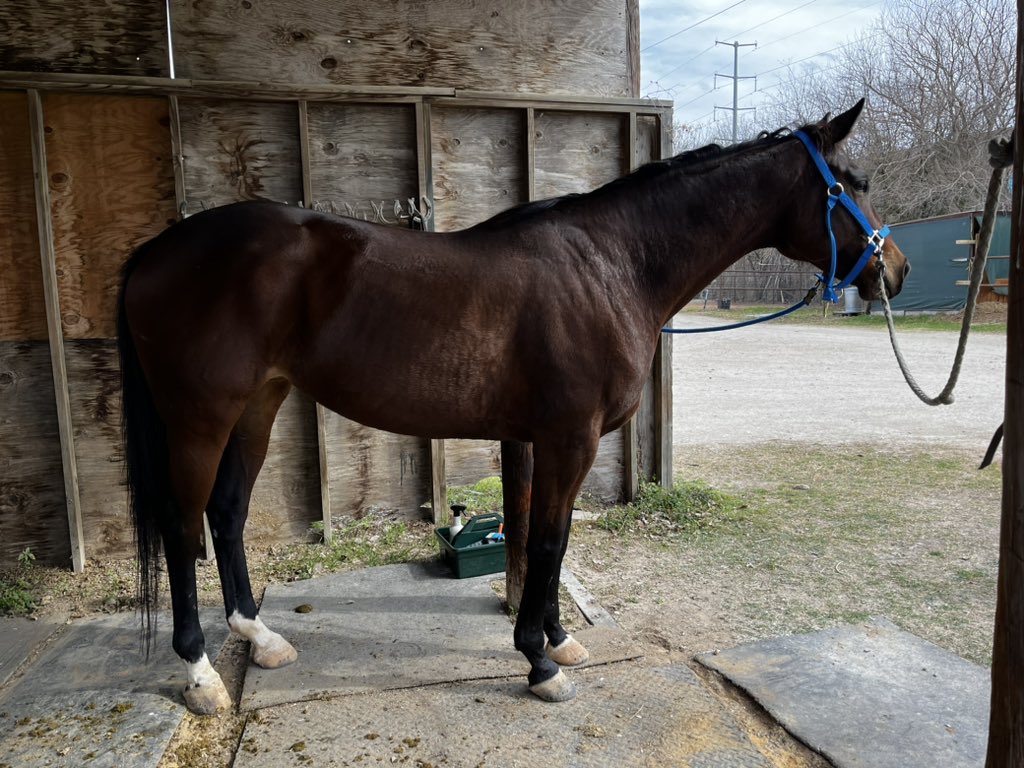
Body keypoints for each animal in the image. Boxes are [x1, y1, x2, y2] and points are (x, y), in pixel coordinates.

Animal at [117, 98, 908, 714]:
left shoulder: (533, 438)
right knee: (183, 527)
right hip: (200, 416)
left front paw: (558, 640)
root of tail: (155, 251)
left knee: (226, 513)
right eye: (857, 183)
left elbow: (536, 537)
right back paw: (201, 676)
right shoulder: (570, 439)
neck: (611, 265)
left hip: (260, 402)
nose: (894, 271)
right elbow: (552, 541)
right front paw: (541, 665)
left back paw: (262, 638)